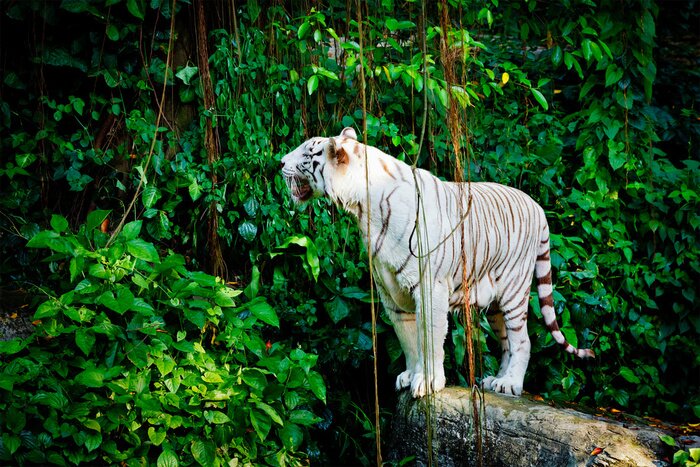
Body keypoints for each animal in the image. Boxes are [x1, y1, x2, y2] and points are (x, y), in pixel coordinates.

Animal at [280, 127, 595, 397]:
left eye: (307, 153)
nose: (280, 161)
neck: (364, 210)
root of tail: (538, 207)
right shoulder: (391, 293)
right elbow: (409, 340)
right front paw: (410, 376)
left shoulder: (430, 286)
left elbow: (430, 338)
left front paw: (428, 382)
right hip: (495, 304)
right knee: (506, 342)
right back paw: (496, 380)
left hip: (514, 290)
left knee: (522, 340)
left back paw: (510, 384)